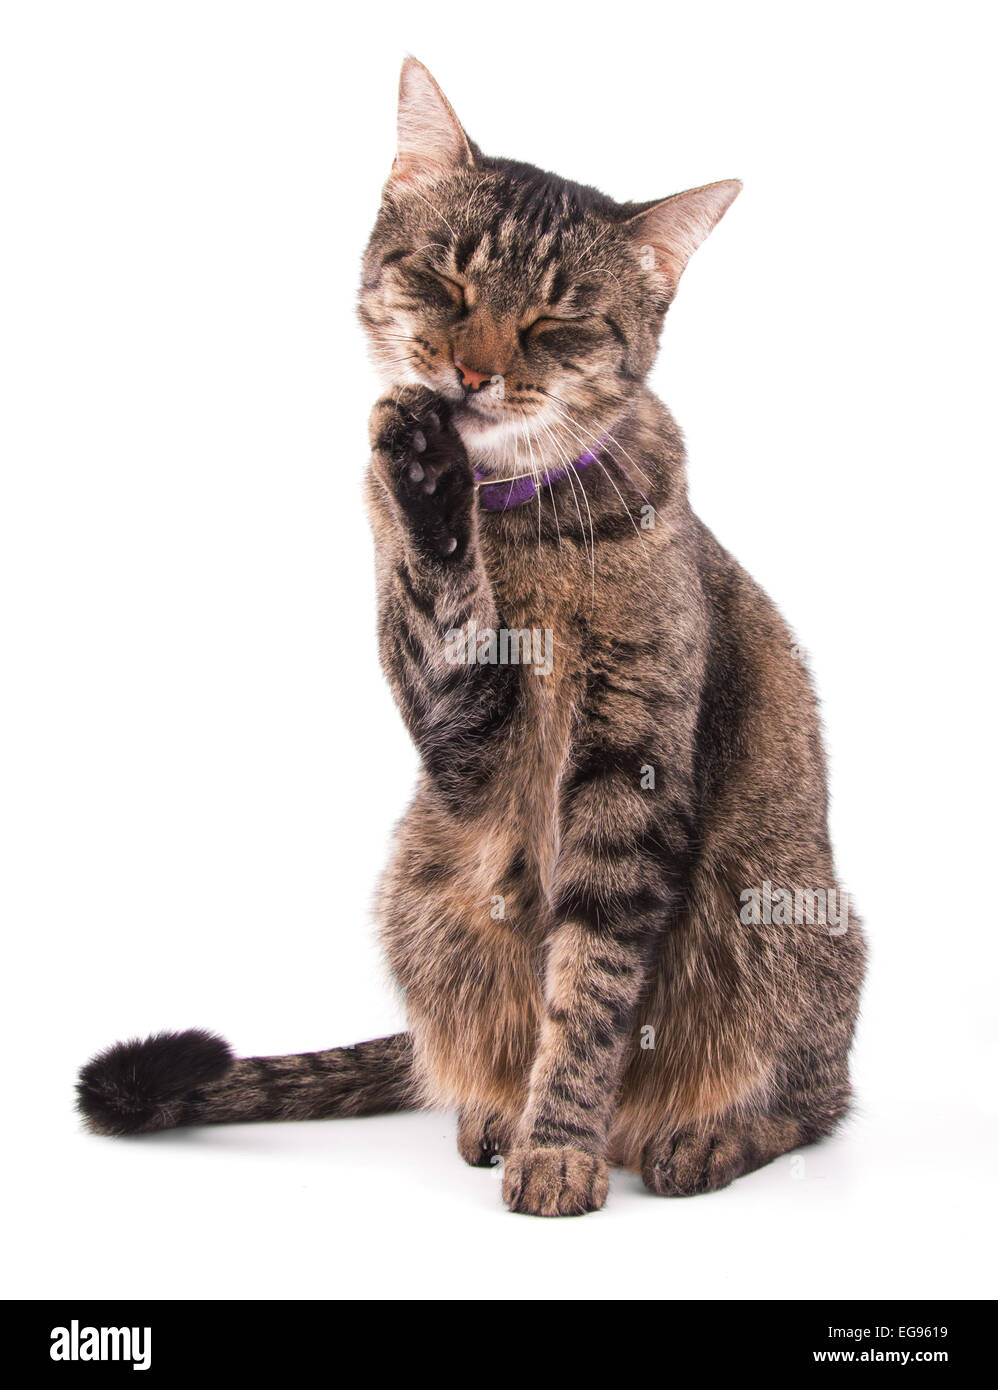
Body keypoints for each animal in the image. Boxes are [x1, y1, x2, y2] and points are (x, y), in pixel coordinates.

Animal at [76, 62, 867, 1217]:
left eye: (553, 320)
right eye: (448, 282)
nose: (470, 372)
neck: (516, 529)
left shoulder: (628, 769)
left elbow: (589, 986)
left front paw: (562, 1145)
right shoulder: (458, 735)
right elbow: (440, 601)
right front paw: (419, 470)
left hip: (782, 920)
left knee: (812, 1097)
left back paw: (702, 1135)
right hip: (423, 884)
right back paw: (493, 1113)